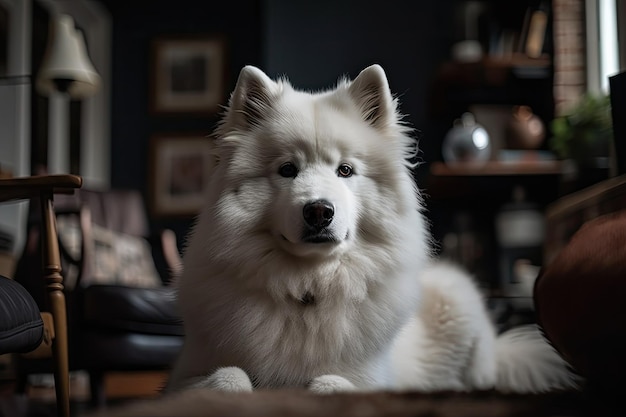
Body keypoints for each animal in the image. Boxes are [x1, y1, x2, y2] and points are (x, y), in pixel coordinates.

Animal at [165, 64, 576, 394]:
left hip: (459, 300)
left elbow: (330, 383)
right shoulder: (184, 374)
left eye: (345, 170)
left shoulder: (371, 378)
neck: (308, 288)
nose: (319, 211)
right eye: (287, 170)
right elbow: (229, 378)